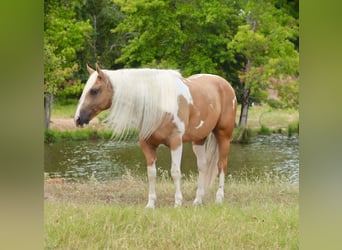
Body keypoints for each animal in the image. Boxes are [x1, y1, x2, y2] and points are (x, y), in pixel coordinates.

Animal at [75, 63, 236, 208]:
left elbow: (175, 172)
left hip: (223, 136)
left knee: (222, 165)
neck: (158, 104)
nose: (78, 119)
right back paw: (198, 200)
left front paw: (178, 202)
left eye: (94, 90)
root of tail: (224, 83)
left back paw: (219, 198)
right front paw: (151, 204)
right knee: (202, 166)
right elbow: (151, 173)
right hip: (199, 139)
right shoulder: (147, 145)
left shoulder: (176, 142)